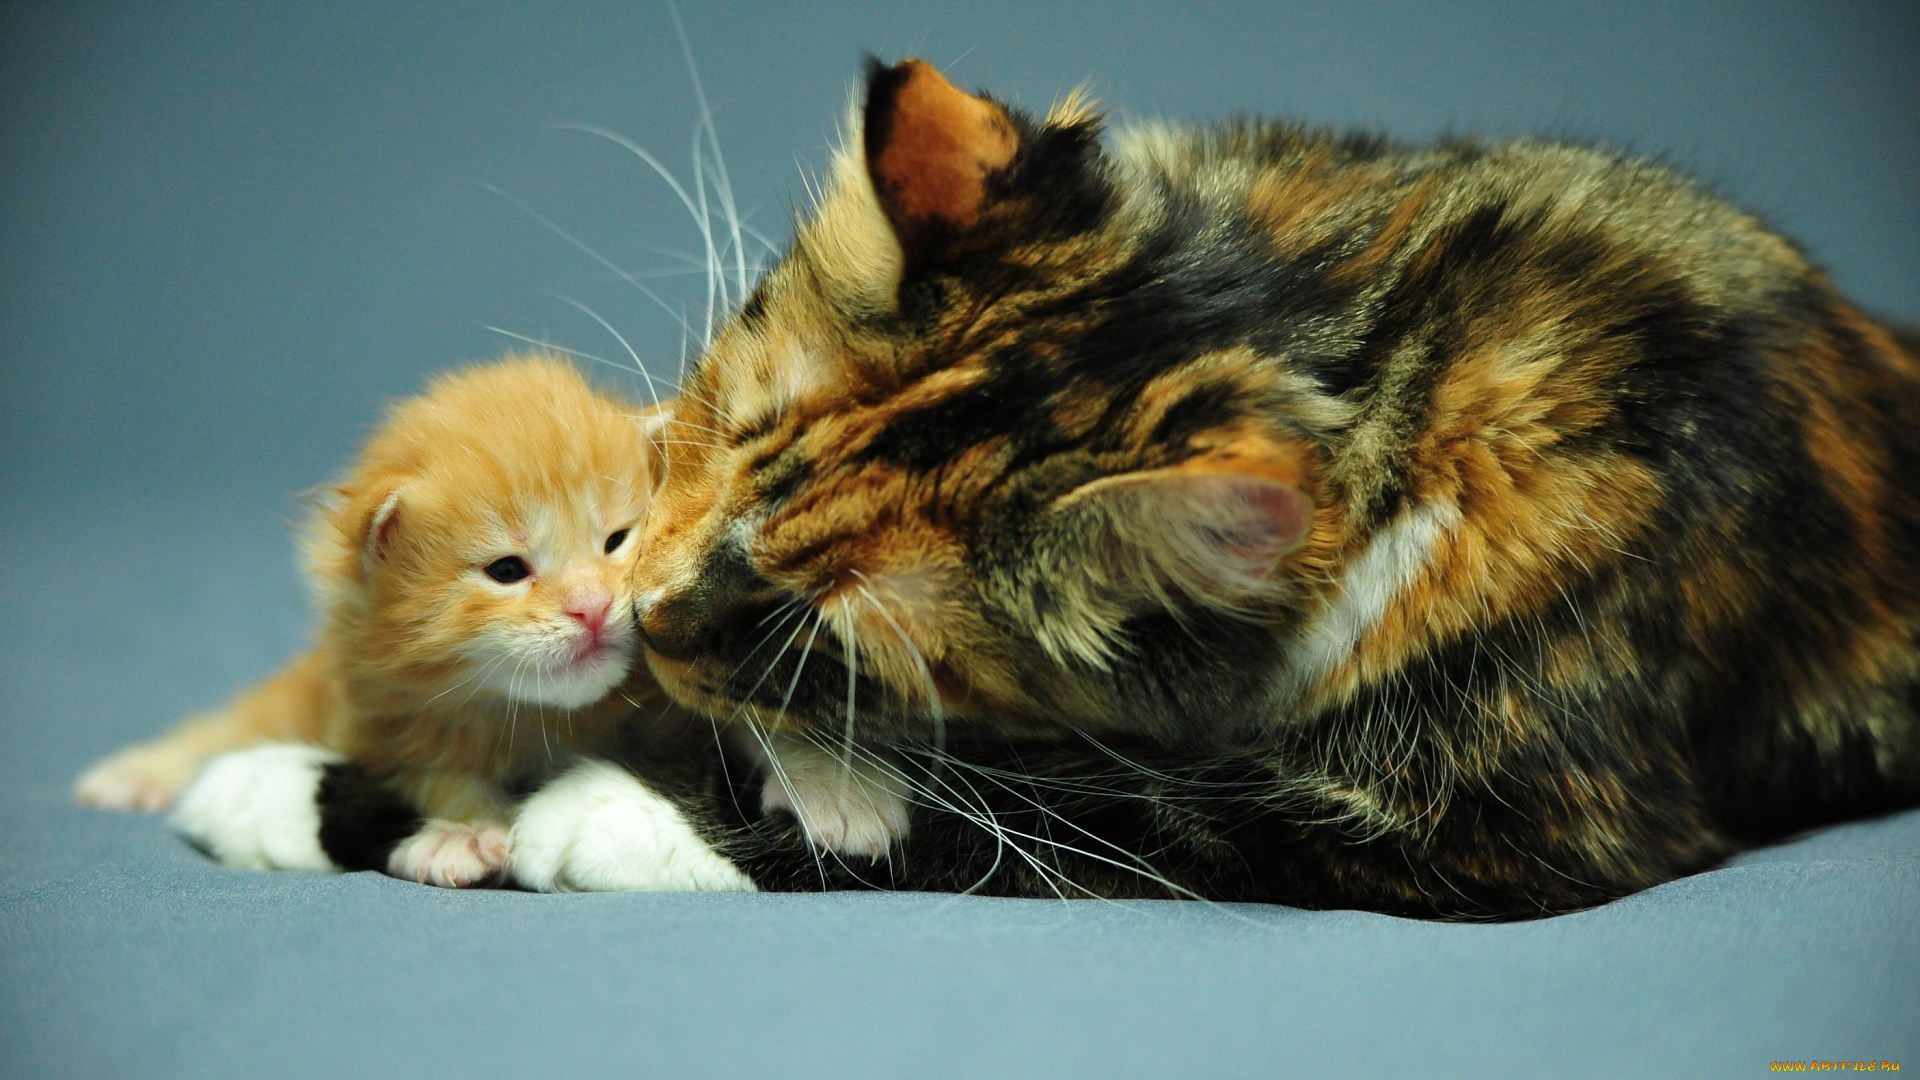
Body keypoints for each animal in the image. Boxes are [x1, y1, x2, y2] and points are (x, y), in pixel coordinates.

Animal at [187, 61, 1912, 914]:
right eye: (713, 422)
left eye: (823, 638)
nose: (643, 613)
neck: (1376, 339)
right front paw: (295, 782)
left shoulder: (1507, 817)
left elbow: (1072, 807)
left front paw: (607, 816)